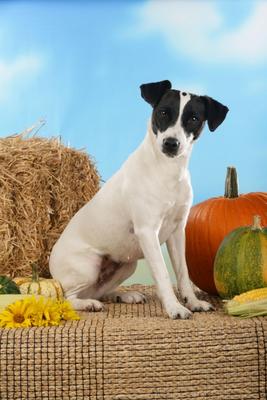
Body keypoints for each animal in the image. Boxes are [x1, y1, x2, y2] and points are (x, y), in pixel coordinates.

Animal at [49, 79, 229, 320]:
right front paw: (174, 308)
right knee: (67, 297)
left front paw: (192, 302)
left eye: (193, 119)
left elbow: (183, 273)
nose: (171, 143)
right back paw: (88, 304)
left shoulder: (177, 232)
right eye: (163, 112)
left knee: (99, 291)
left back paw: (123, 295)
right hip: (88, 266)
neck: (167, 171)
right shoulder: (147, 231)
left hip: (127, 265)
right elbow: (163, 274)